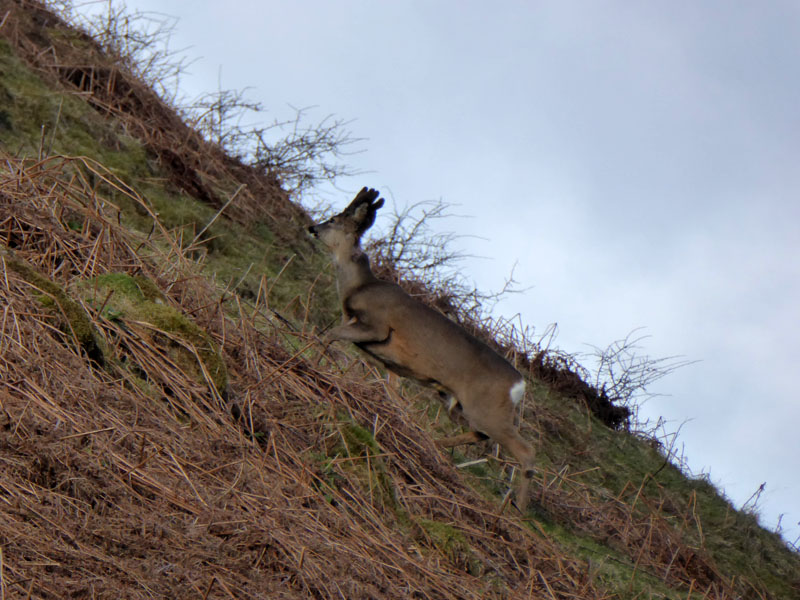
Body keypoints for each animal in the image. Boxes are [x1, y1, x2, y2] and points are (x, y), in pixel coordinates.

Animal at [310, 186, 536, 506]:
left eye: (332, 219)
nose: (312, 228)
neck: (359, 287)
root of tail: (519, 384)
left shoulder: (377, 325)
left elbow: (328, 335)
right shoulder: (391, 362)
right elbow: (392, 391)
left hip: (487, 407)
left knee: (525, 450)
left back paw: (517, 505)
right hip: (464, 404)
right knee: (481, 435)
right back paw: (438, 445)